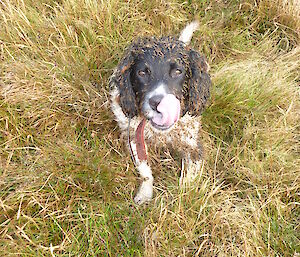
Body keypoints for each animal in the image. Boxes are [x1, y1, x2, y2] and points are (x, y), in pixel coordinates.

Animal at [109, 21, 210, 204]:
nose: (157, 103)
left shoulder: (192, 146)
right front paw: (145, 194)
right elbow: (145, 171)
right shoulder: (134, 138)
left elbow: (189, 178)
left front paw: (183, 194)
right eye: (142, 72)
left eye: (177, 71)